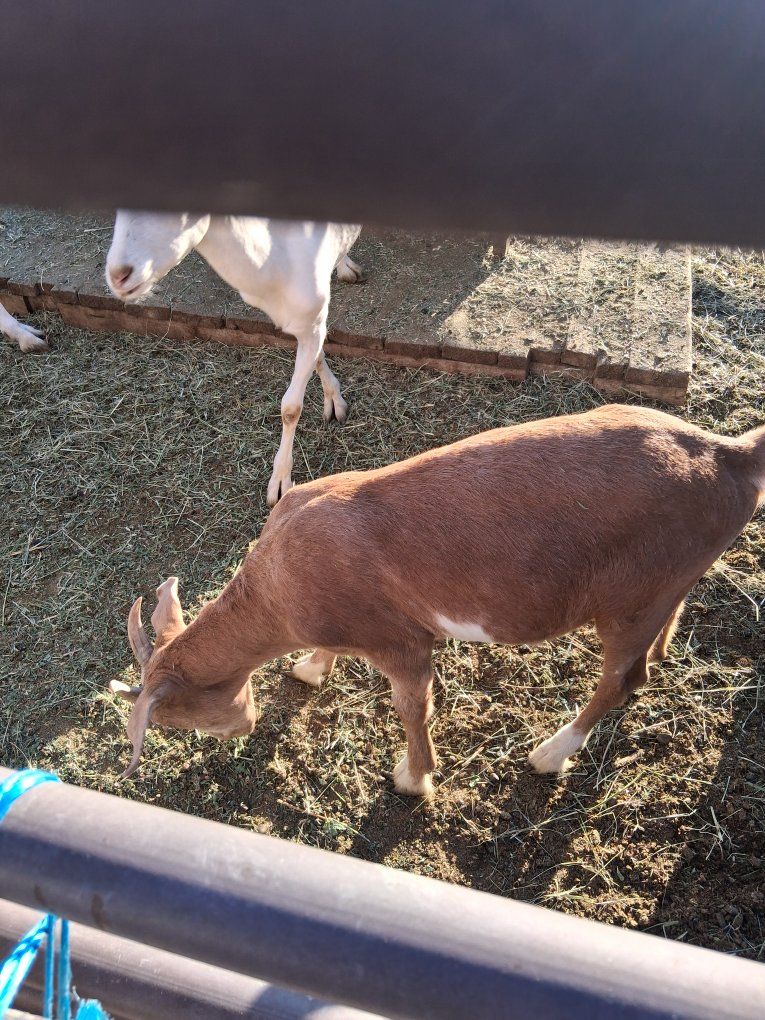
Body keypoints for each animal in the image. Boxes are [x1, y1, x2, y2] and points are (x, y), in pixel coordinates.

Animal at [105, 212, 364, 505]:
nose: (117, 276)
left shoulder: (314, 314)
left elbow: (291, 407)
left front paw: (280, 484)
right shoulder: (305, 321)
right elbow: (317, 358)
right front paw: (333, 399)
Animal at [110, 403, 764, 794]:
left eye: (172, 716)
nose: (241, 729)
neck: (278, 584)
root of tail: (730, 453)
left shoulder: (395, 637)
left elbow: (412, 702)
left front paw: (414, 777)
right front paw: (310, 669)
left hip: (632, 594)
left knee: (619, 679)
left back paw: (550, 753)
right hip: (669, 578)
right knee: (656, 640)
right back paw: (657, 657)